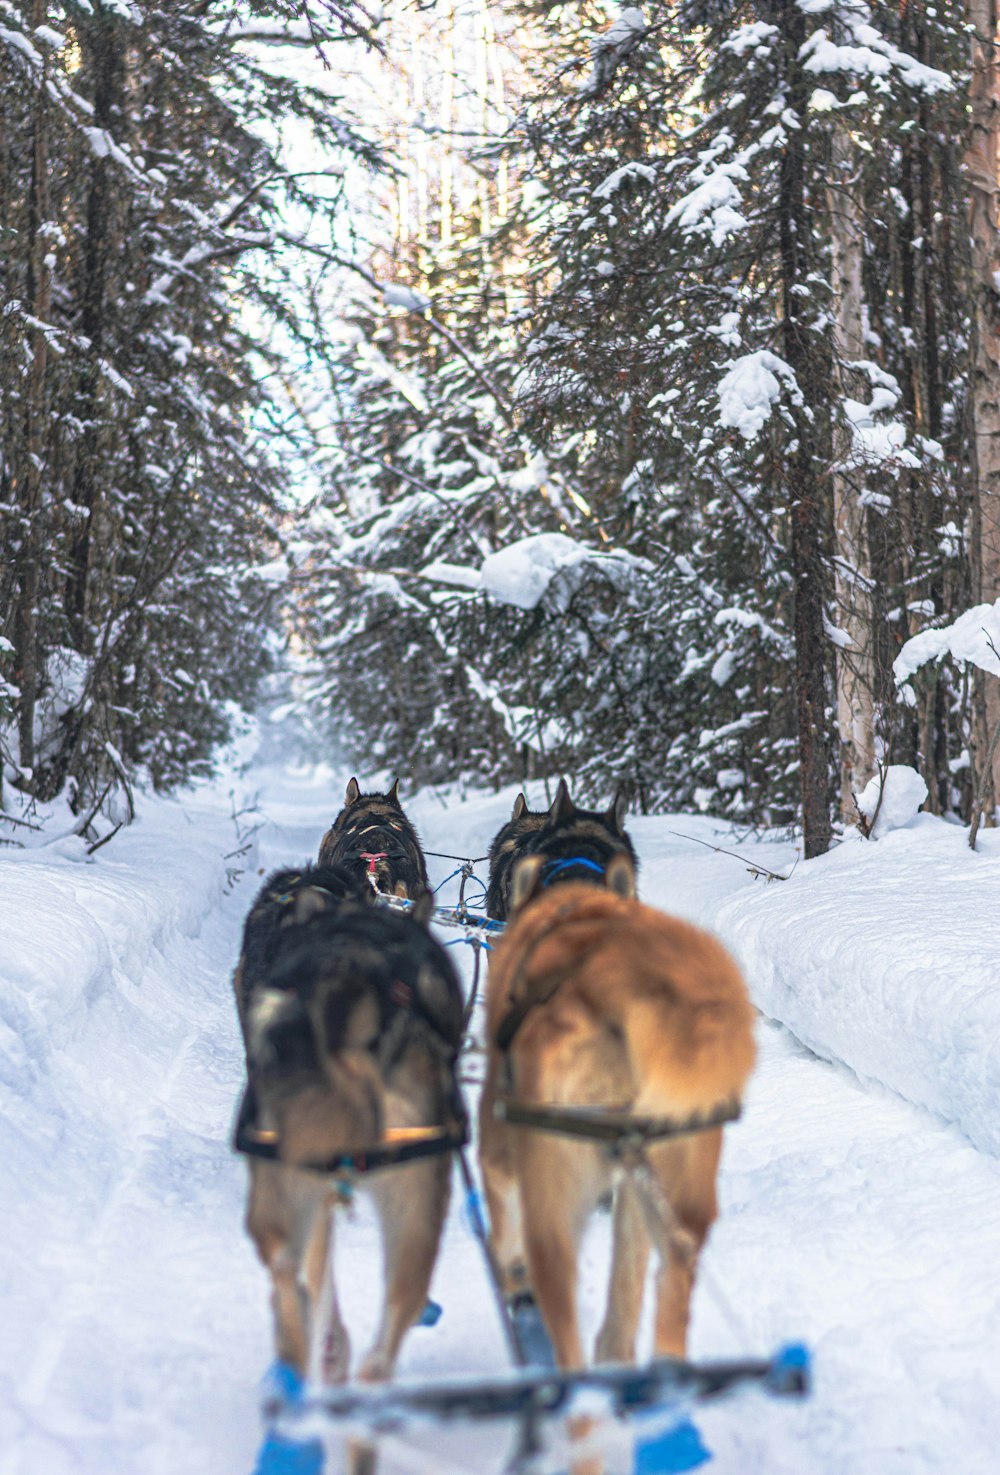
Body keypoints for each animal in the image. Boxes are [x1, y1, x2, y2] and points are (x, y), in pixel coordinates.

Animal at [477, 855, 752, 1368]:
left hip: (553, 1201)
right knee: (664, 1280)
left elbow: (502, 1228)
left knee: (563, 1318)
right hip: (675, 1187)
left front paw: (510, 1279)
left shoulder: (497, 1142)